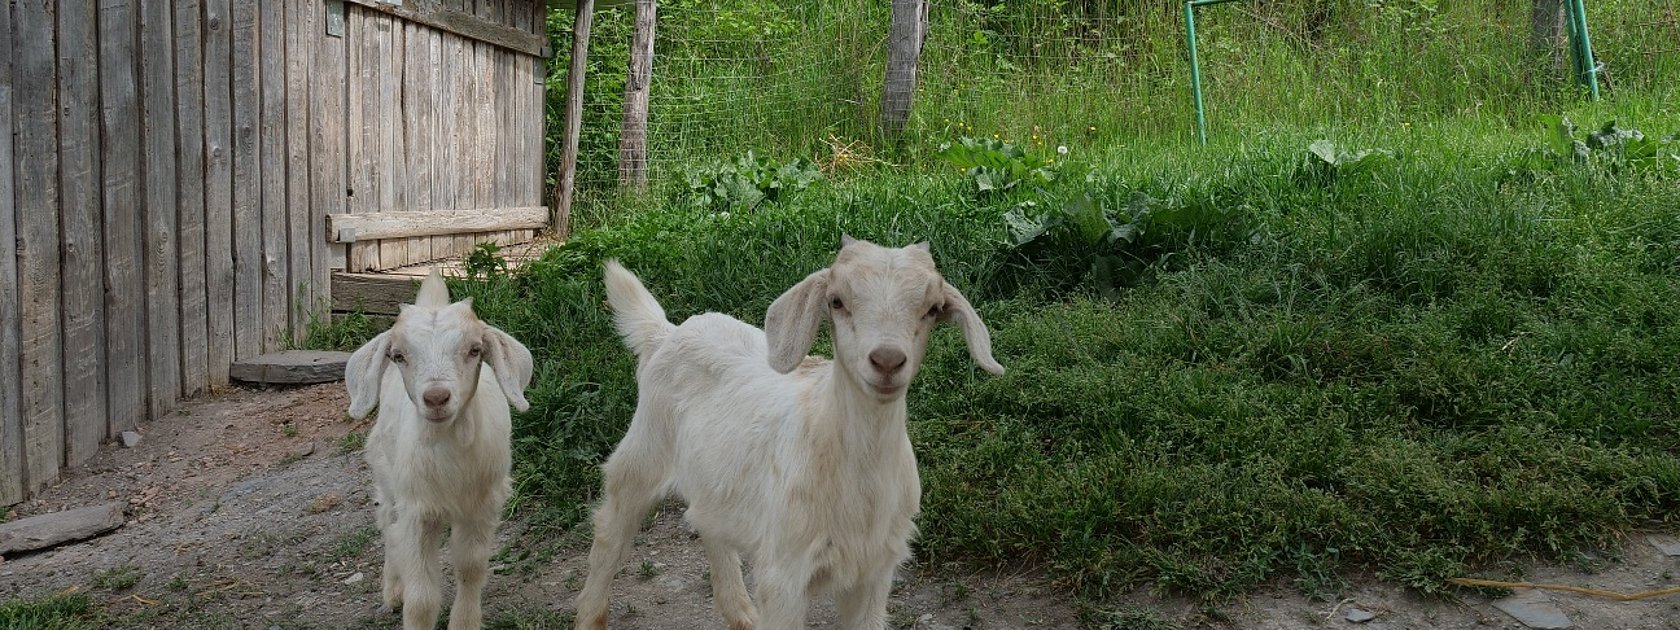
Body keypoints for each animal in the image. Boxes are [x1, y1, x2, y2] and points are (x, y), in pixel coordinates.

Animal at [345, 268, 533, 630]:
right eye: (399, 355)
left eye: (474, 350)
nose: (436, 398)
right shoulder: (418, 511)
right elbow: (421, 599)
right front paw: (410, 603)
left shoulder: (482, 506)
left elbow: (471, 567)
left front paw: (464, 622)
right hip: (387, 477)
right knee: (388, 527)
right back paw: (393, 590)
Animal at [575, 236, 1004, 629]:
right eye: (837, 302)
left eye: (931, 309)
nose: (886, 360)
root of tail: (665, 333)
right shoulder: (785, 574)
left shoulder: (874, 571)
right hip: (642, 453)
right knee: (608, 535)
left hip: (712, 479)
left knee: (709, 526)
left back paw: (742, 614)